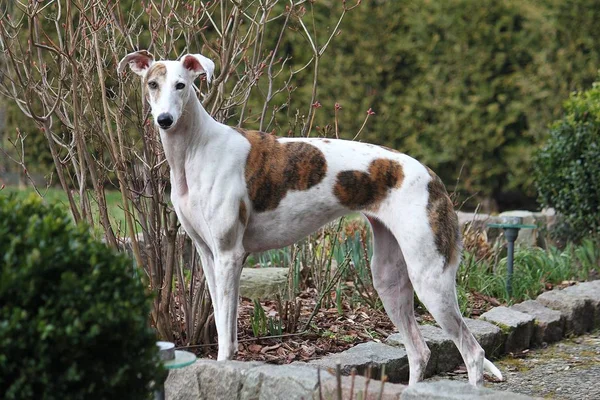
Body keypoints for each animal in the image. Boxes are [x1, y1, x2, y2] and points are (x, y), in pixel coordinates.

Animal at [117, 49, 502, 384]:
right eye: (153, 84)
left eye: (182, 85)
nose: (164, 120)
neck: (196, 148)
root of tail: (432, 176)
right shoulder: (208, 256)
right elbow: (224, 323)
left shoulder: (229, 255)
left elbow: (226, 339)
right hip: (388, 279)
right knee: (420, 352)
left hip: (430, 280)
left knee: (473, 353)